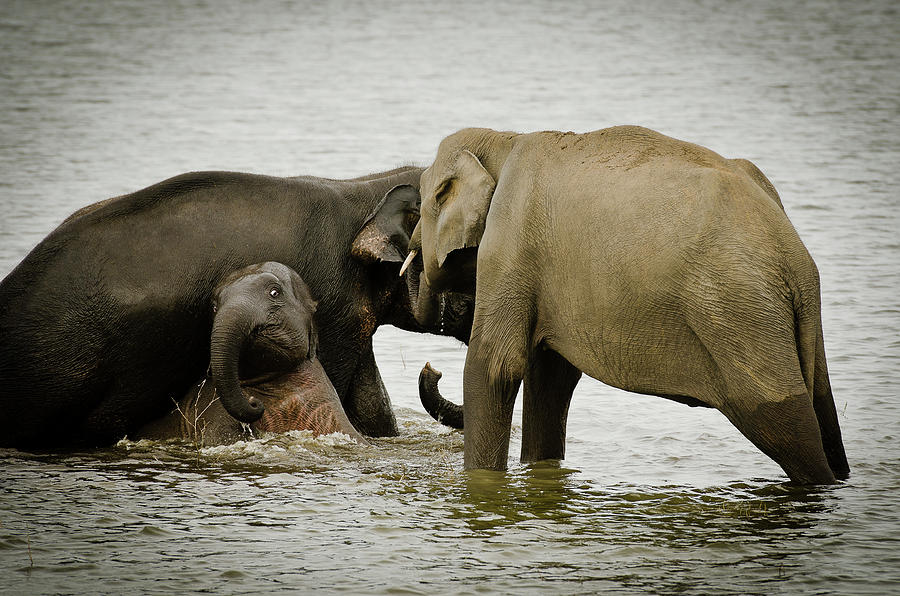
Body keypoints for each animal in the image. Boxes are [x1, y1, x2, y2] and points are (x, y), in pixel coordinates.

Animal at [408, 125, 852, 484]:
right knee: (822, 409)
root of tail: (790, 255)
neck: (504, 138)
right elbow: (551, 373)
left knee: (777, 417)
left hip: (738, 312)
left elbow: (496, 366)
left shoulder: (509, 243)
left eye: (420, 206)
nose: (432, 367)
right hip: (791, 324)